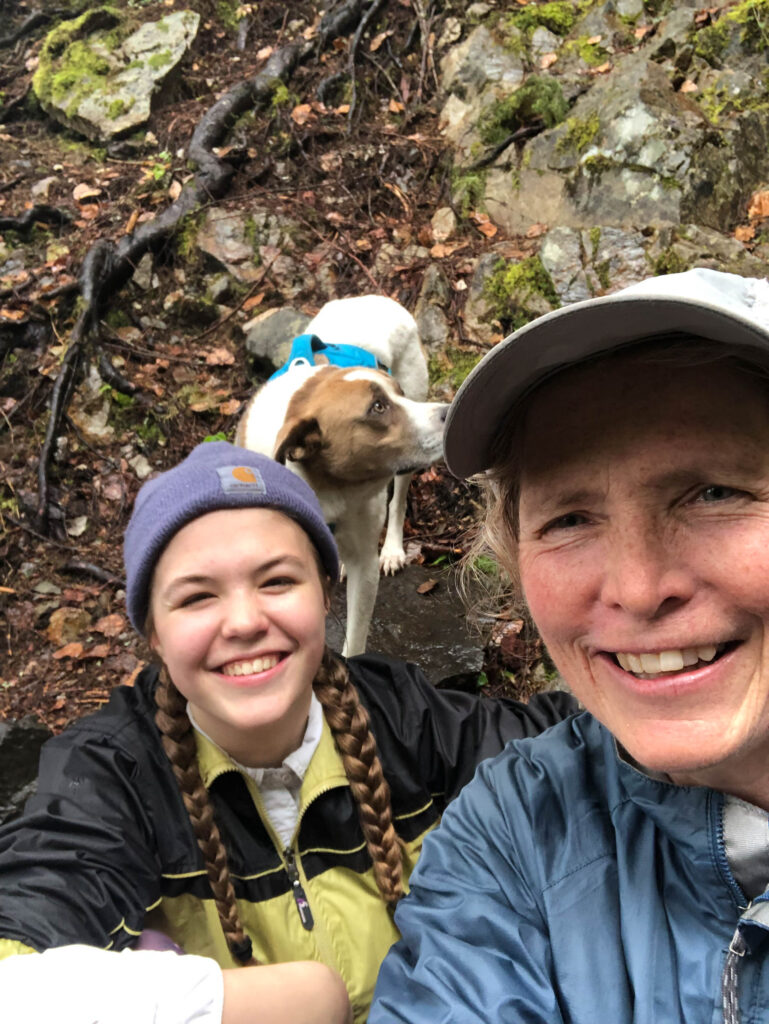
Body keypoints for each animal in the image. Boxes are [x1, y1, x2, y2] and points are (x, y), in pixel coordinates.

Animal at [237, 296, 448, 655]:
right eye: (377, 407)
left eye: (398, 394)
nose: (448, 412)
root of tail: (374, 298)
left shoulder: (366, 567)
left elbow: (356, 640)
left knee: (398, 500)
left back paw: (393, 549)